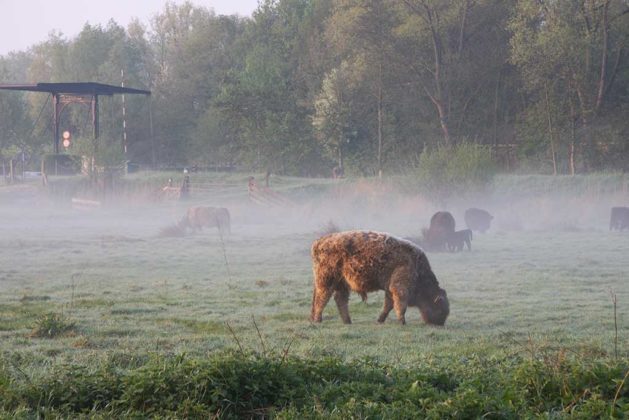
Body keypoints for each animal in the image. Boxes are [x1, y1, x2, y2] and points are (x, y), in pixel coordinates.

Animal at [310, 231, 446, 326]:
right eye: (440, 309)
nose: (441, 323)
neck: (417, 264)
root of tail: (319, 242)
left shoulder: (389, 289)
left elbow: (388, 305)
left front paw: (380, 320)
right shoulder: (399, 287)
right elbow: (400, 304)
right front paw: (402, 321)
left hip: (341, 283)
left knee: (339, 300)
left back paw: (347, 321)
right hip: (326, 281)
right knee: (321, 299)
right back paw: (318, 319)